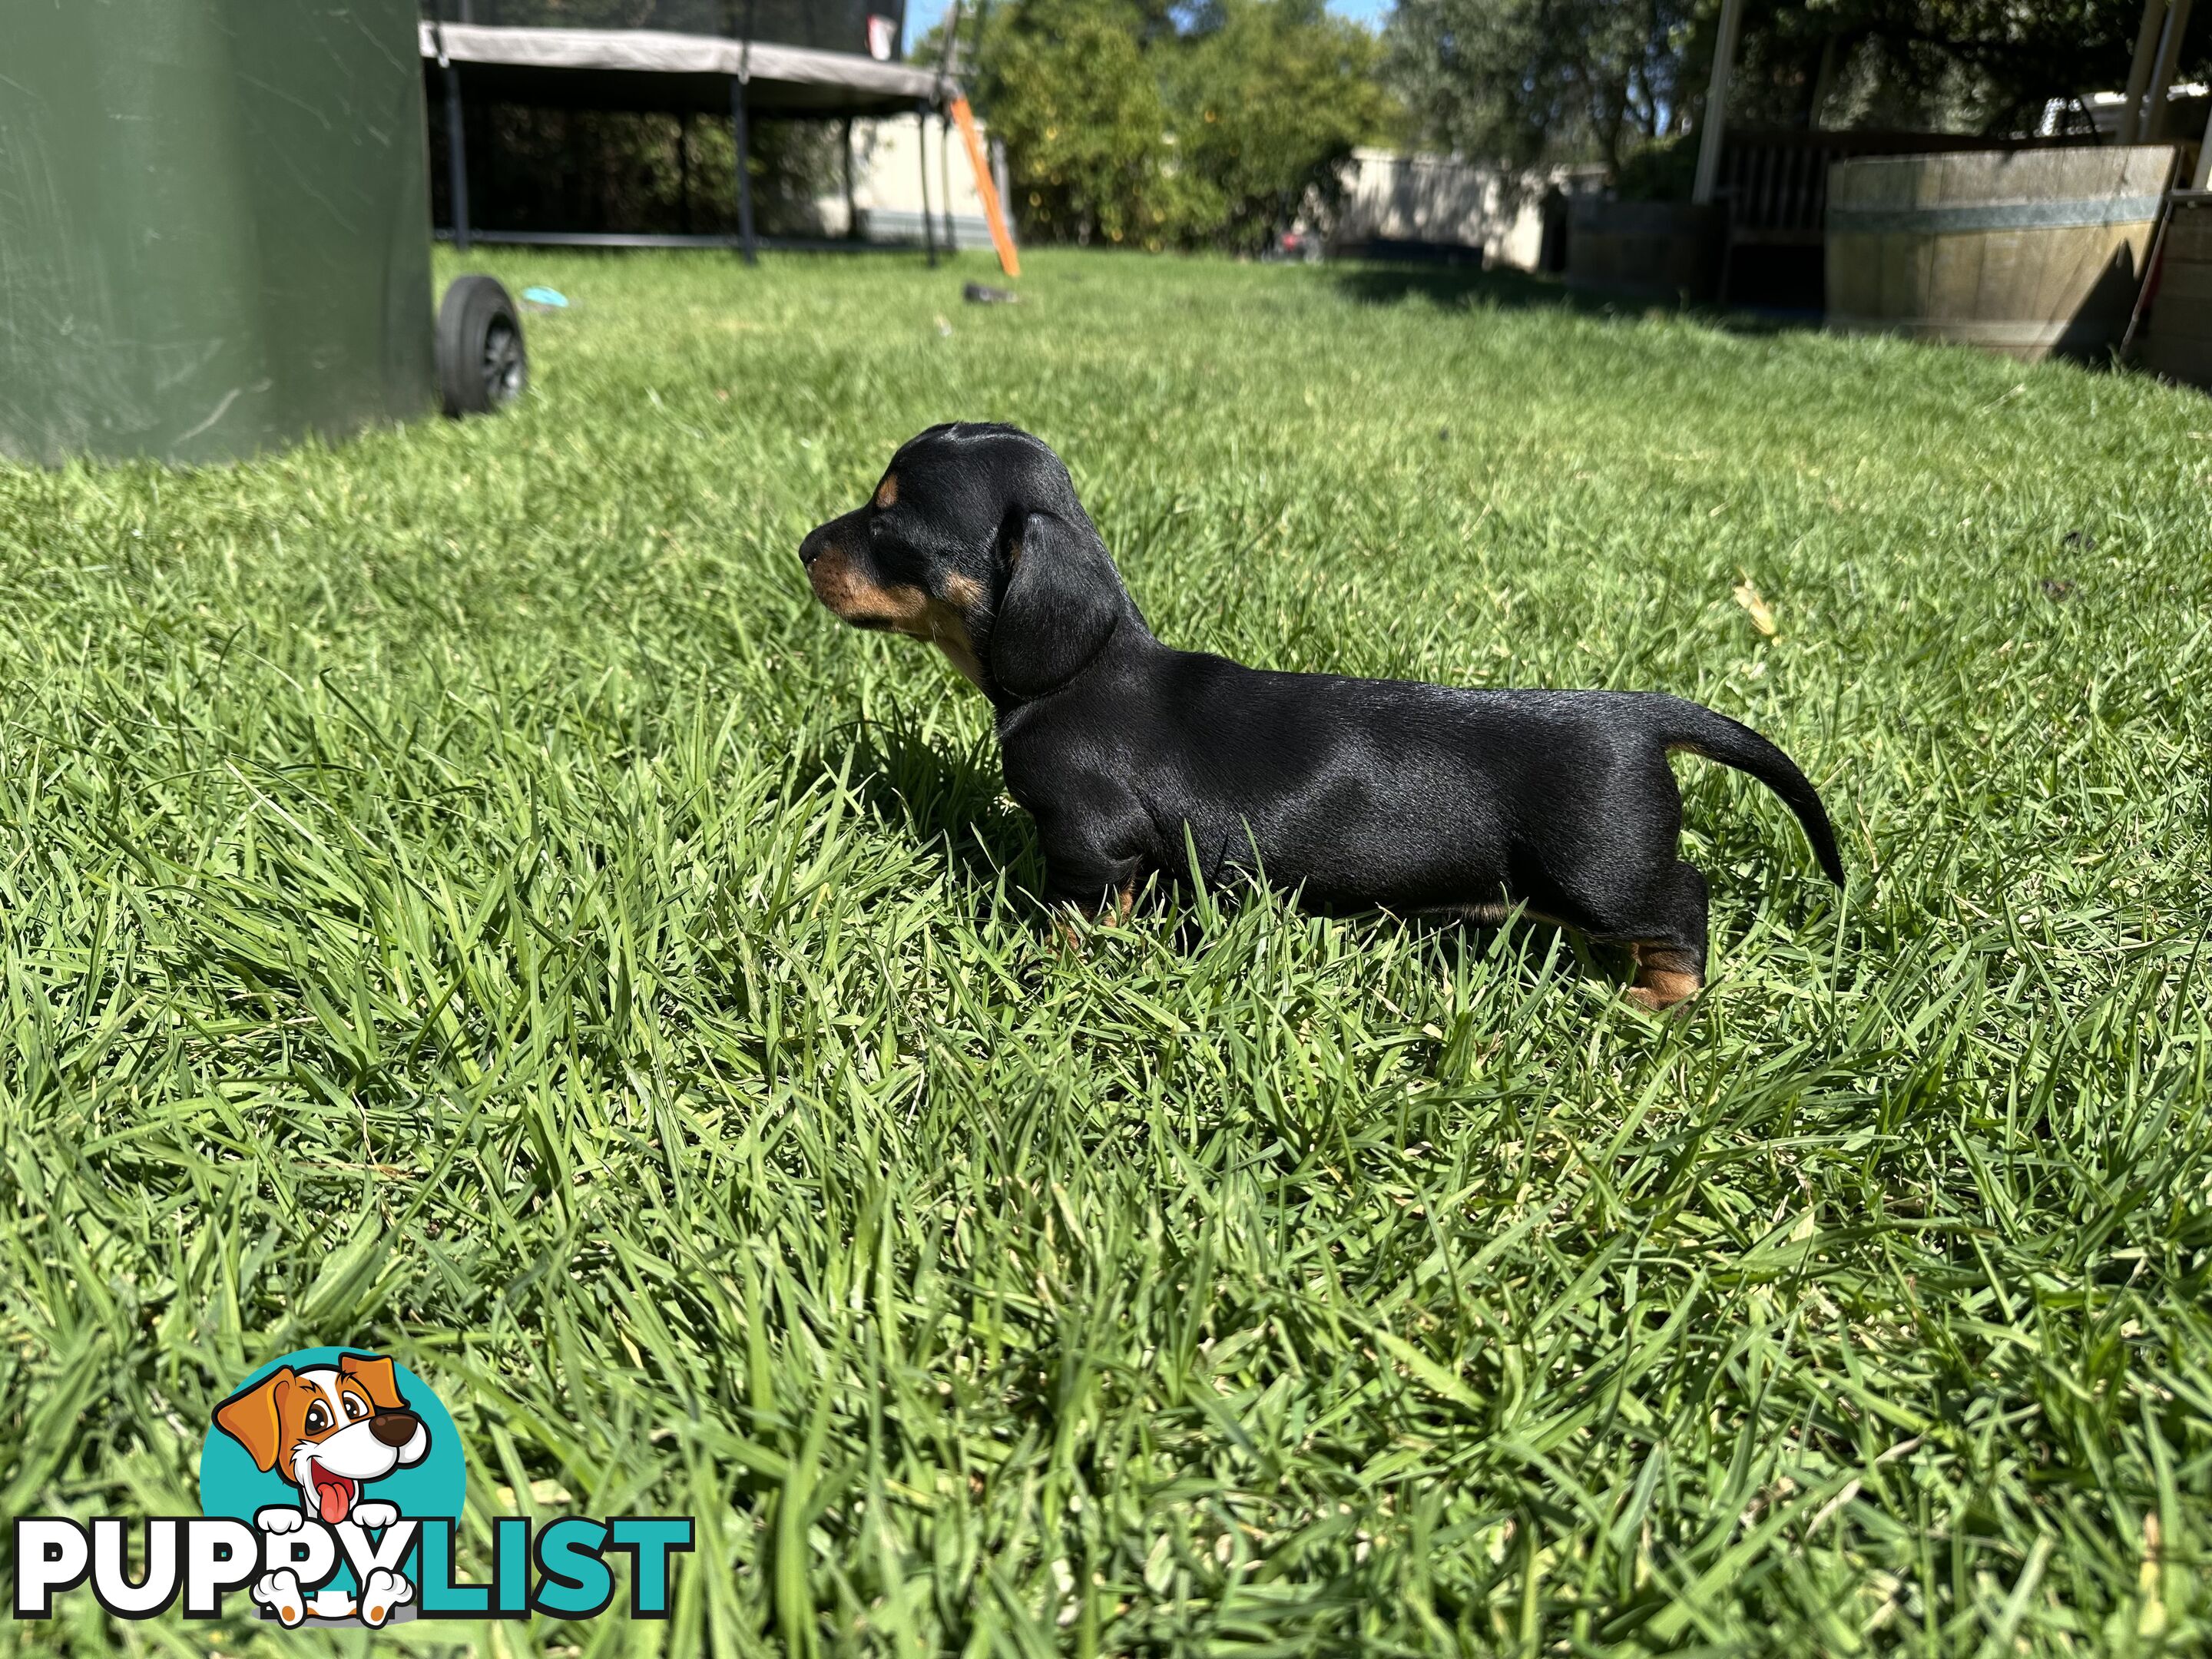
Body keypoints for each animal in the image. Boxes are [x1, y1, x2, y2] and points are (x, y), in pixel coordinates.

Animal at [805, 422, 1840, 1008]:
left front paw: (1051, 972)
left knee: (1684, 907)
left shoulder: (1092, 844)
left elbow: (1077, 918)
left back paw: (1661, 1002)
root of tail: (1639, 717)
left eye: (890, 521)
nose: (803, 547)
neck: (1081, 671)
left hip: (1601, 875)